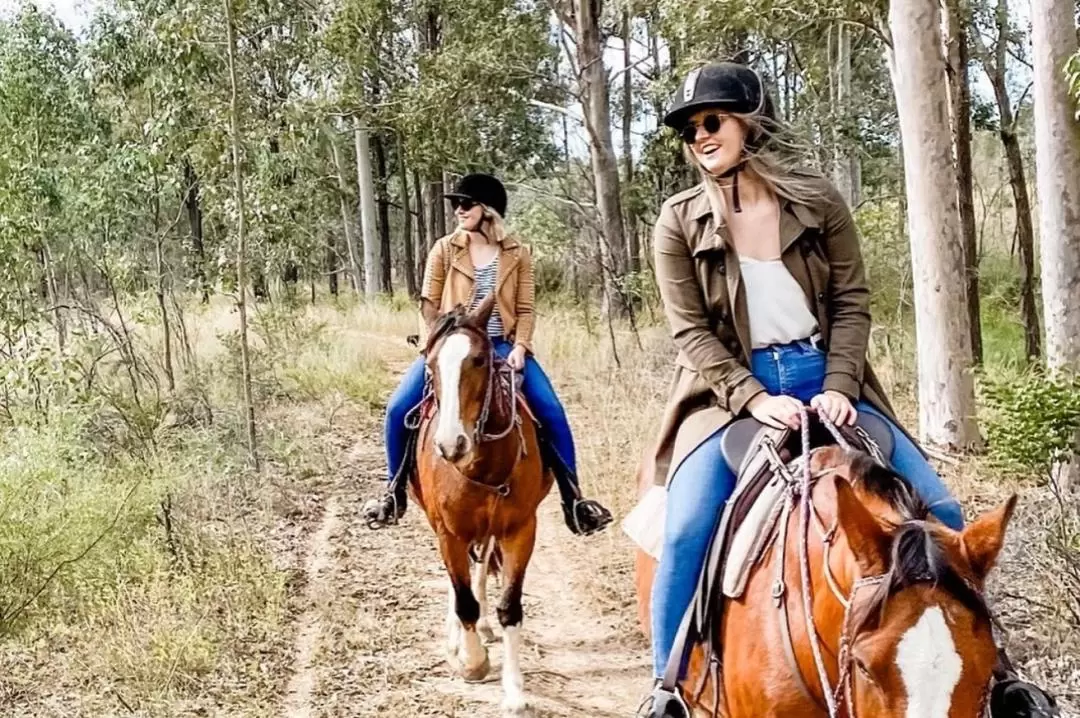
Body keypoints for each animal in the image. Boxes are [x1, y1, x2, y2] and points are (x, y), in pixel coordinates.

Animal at [410, 293, 552, 712]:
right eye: (430, 364)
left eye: (479, 360)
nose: (450, 445)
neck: (481, 465)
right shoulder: (448, 533)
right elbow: (463, 601)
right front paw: (471, 662)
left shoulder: (520, 530)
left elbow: (510, 607)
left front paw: (515, 691)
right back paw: (456, 638)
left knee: (482, 567)